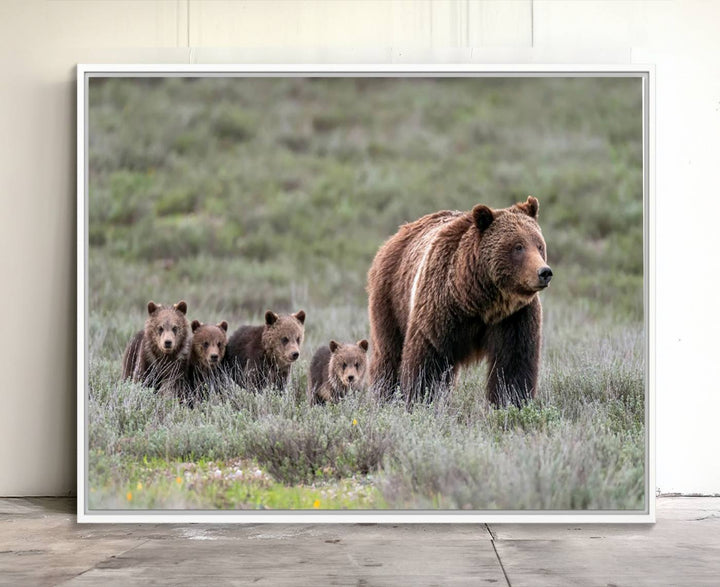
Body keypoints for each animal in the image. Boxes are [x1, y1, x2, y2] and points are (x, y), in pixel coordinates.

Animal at [368, 198, 556, 408]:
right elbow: (427, 360)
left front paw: (511, 402)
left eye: (539, 245)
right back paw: (384, 396)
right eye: (518, 246)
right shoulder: (440, 307)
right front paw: (421, 400)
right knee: (388, 353)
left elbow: (514, 364)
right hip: (392, 297)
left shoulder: (514, 316)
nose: (544, 272)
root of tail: (396, 235)